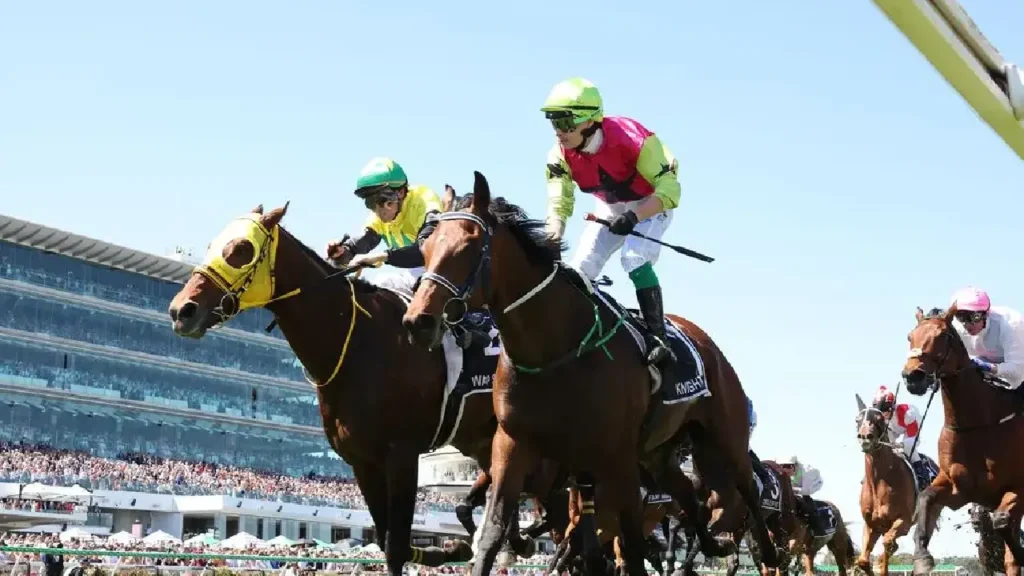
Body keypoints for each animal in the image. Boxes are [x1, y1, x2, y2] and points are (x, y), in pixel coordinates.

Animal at [166, 203, 561, 569]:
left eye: (241, 249)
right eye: (211, 245)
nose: (181, 310)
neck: (357, 341)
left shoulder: (402, 455)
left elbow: (396, 545)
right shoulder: (362, 462)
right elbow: (388, 541)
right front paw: (450, 549)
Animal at [399, 171, 774, 573]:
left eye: (468, 246)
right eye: (426, 247)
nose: (419, 321)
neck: (554, 348)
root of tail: (704, 340)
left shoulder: (617, 461)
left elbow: (629, 548)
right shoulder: (513, 446)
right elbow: (492, 531)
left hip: (725, 436)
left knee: (747, 488)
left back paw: (767, 551)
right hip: (657, 454)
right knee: (688, 494)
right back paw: (712, 544)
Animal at [851, 393, 917, 573]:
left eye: (879, 419)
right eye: (857, 419)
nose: (865, 437)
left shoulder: (904, 520)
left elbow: (888, 544)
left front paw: (881, 565)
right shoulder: (871, 524)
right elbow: (862, 561)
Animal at [901, 303, 1024, 569]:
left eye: (942, 336)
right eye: (910, 336)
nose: (912, 377)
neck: (977, 424)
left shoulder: (1019, 487)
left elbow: (1001, 520)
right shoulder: (959, 489)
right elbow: (925, 497)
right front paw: (922, 556)